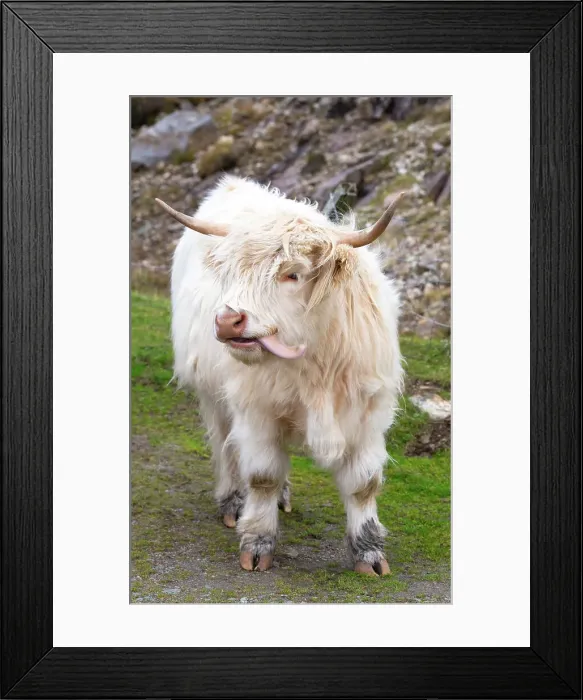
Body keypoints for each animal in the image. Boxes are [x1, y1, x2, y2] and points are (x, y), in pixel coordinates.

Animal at [156, 174, 404, 576]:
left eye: (293, 274)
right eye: (232, 272)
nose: (227, 320)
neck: (318, 365)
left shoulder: (369, 415)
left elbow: (364, 483)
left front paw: (369, 554)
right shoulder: (256, 410)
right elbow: (262, 476)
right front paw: (257, 545)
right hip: (213, 395)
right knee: (226, 448)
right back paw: (231, 501)